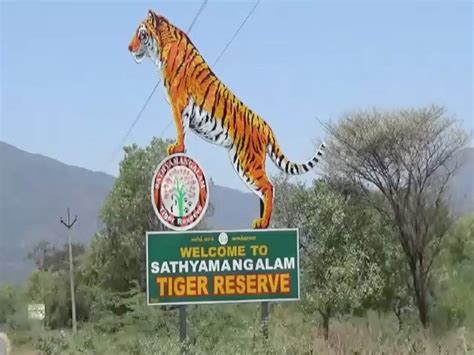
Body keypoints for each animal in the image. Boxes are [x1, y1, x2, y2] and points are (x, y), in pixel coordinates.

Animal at [128, 9, 324, 229]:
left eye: (141, 33)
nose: (129, 47)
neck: (162, 48)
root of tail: (266, 126)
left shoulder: (179, 101)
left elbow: (180, 127)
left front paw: (176, 147)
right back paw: (261, 220)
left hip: (247, 161)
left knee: (268, 187)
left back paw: (263, 223)